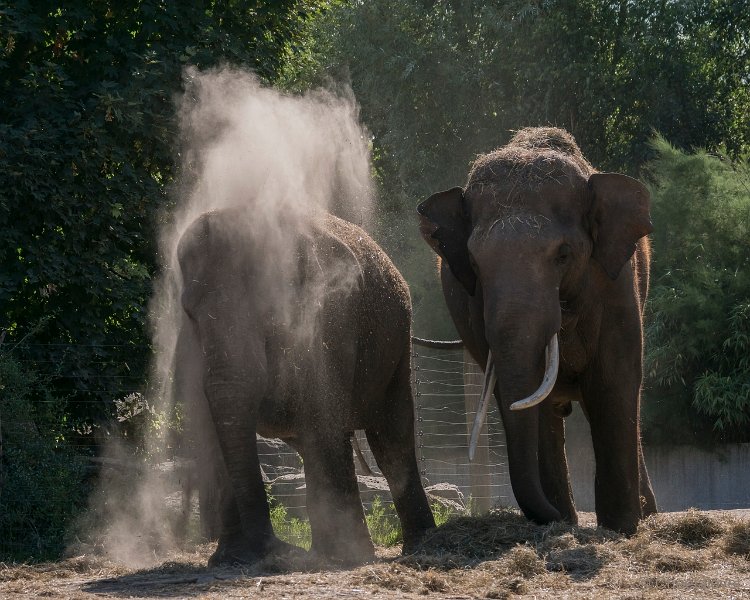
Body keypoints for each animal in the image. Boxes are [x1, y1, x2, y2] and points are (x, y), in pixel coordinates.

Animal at [175, 204, 434, 564]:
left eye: (270, 311)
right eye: (189, 314)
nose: (273, 549)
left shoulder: (331, 315)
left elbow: (324, 410)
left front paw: (346, 556)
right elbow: (212, 425)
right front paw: (229, 558)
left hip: (396, 346)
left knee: (389, 438)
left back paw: (411, 544)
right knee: (310, 441)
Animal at [420, 126, 660, 536]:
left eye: (563, 255)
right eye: (474, 264)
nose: (550, 518)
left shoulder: (615, 283)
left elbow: (613, 380)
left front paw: (621, 529)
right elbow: (531, 402)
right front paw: (561, 523)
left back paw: (647, 515)